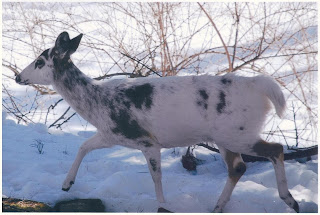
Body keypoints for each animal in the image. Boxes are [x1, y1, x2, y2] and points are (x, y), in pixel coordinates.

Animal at [15, 31, 298, 213]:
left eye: (39, 62)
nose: (18, 77)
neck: (98, 102)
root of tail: (261, 87)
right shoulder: (113, 134)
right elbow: (84, 146)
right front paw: (66, 185)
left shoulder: (146, 139)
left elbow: (155, 175)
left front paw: (163, 205)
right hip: (227, 137)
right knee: (238, 167)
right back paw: (218, 206)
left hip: (237, 133)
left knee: (276, 149)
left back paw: (290, 200)